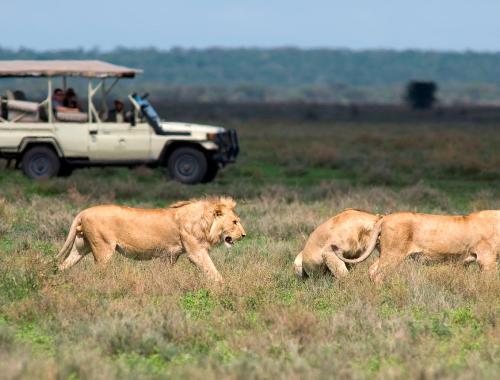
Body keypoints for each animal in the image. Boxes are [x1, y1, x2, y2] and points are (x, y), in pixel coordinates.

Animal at [56, 196, 246, 282]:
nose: (244, 235)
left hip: (81, 247)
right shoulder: (196, 252)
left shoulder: (170, 255)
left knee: (63, 265)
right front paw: (224, 286)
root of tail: (83, 211)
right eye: (235, 221)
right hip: (103, 249)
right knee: (97, 272)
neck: (204, 222)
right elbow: (212, 269)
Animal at [336, 211, 500, 282]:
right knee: (378, 274)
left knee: (372, 270)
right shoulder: (487, 259)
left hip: (386, 253)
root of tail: (384, 218)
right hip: (394, 254)